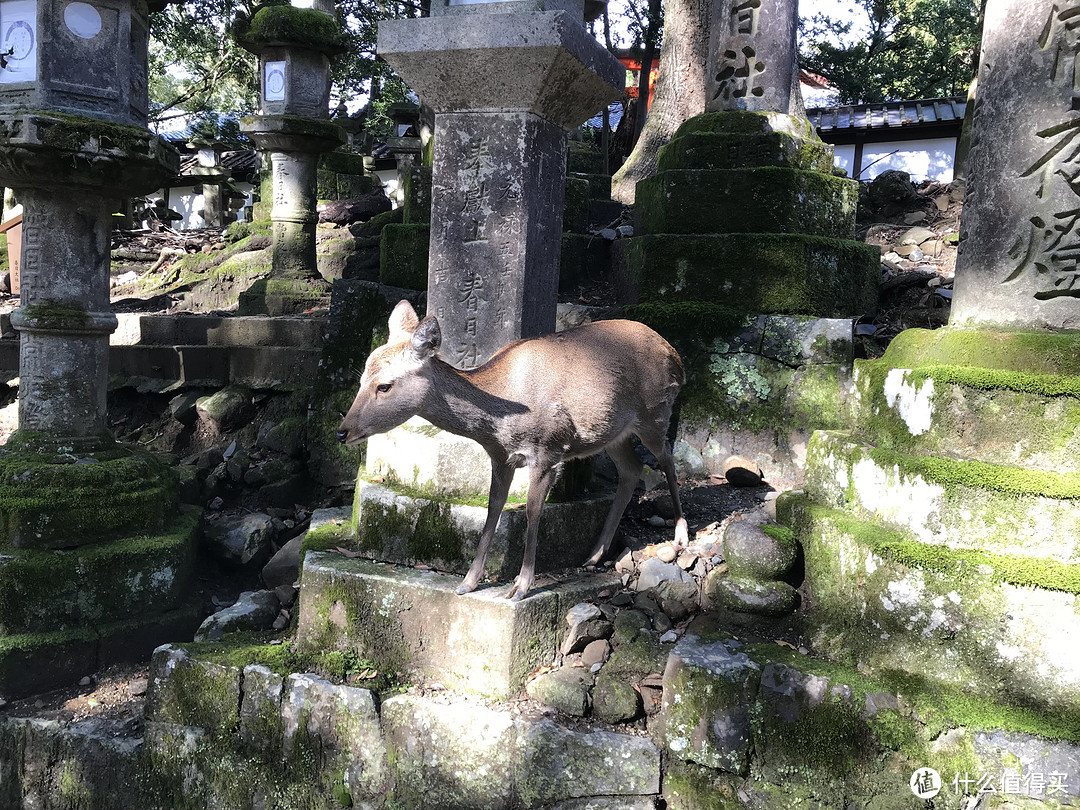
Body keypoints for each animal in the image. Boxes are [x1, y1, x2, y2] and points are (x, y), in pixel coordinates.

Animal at [336, 302, 691, 604]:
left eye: (384, 385)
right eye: (361, 378)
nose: (343, 431)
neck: (499, 420)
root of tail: (676, 356)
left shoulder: (549, 450)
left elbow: (533, 512)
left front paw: (521, 586)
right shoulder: (500, 457)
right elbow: (493, 507)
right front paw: (467, 582)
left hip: (656, 412)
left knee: (667, 460)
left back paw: (680, 537)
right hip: (614, 433)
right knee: (632, 470)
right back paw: (594, 554)